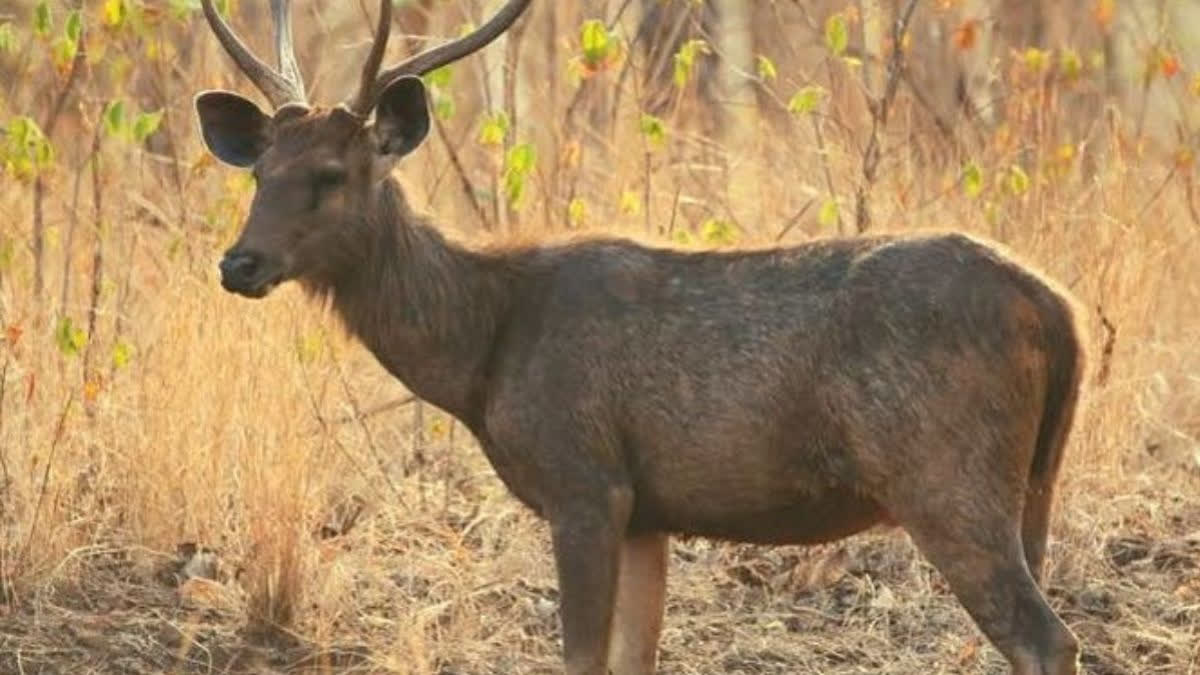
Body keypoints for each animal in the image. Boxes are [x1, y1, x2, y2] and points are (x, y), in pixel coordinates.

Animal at [194, 2, 1089, 667]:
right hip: (1033, 482)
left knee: (1046, 638)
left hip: (944, 473)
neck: (482, 356)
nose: (239, 262)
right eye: (260, 172)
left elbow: (582, 656)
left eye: (330, 176)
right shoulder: (647, 509)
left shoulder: (586, 479)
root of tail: (1057, 309)